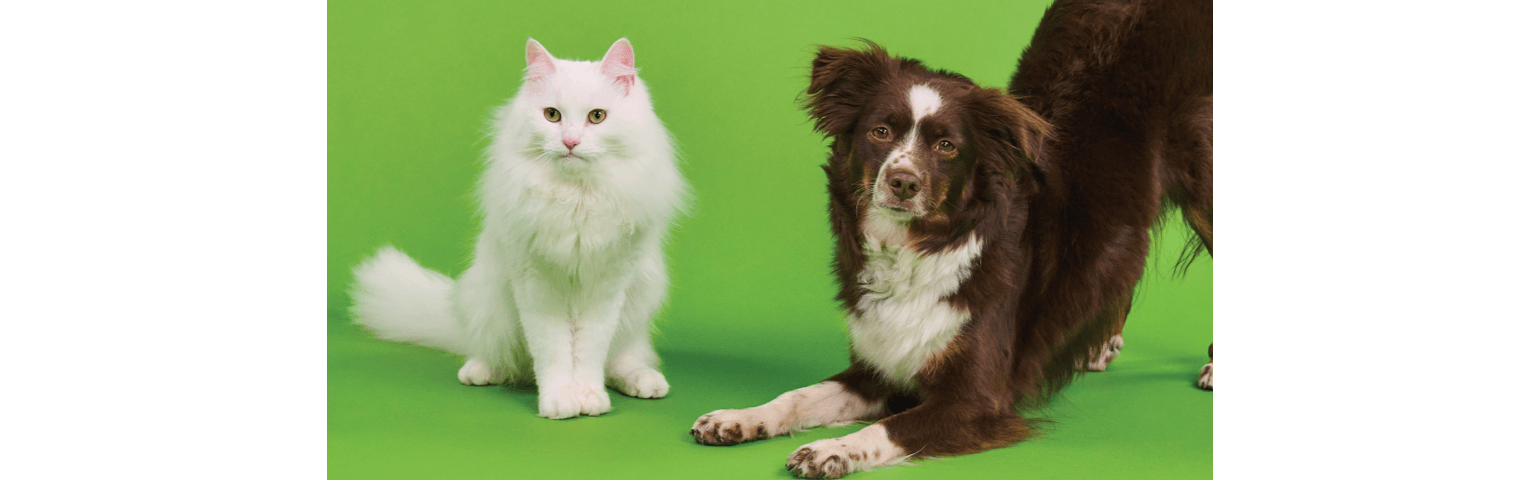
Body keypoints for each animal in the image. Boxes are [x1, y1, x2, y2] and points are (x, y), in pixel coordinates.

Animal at [352, 38, 689, 418]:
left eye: (597, 117)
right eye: (552, 115)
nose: (570, 142)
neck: (576, 198)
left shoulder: (607, 285)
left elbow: (590, 351)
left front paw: (589, 398)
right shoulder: (534, 281)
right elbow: (552, 350)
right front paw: (559, 400)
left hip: (640, 297)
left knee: (622, 358)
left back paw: (645, 382)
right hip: (491, 300)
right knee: (505, 359)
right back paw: (479, 371)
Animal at [693, 0, 1207, 476]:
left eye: (946, 147)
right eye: (880, 131)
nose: (902, 181)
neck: (916, 249)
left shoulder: (975, 400)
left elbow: (889, 428)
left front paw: (830, 449)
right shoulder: (876, 370)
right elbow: (798, 395)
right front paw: (740, 418)